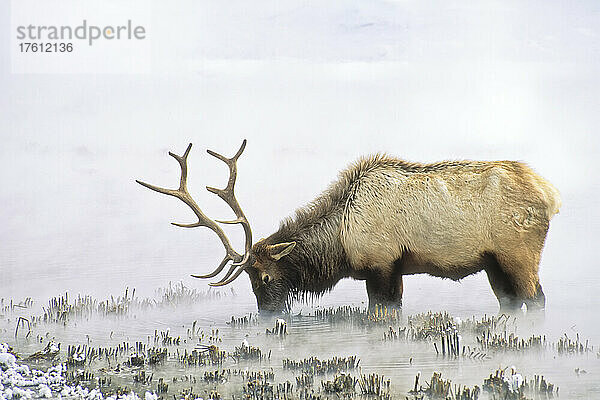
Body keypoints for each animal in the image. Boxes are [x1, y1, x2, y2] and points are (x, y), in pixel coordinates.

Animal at [136, 141, 556, 312]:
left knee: (536, 298)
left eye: (265, 277)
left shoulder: (382, 264)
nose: (268, 314)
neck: (340, 242)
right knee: (511, 301)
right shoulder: (390, 268)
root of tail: (549, 193)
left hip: (519, 254)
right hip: (493, 263)